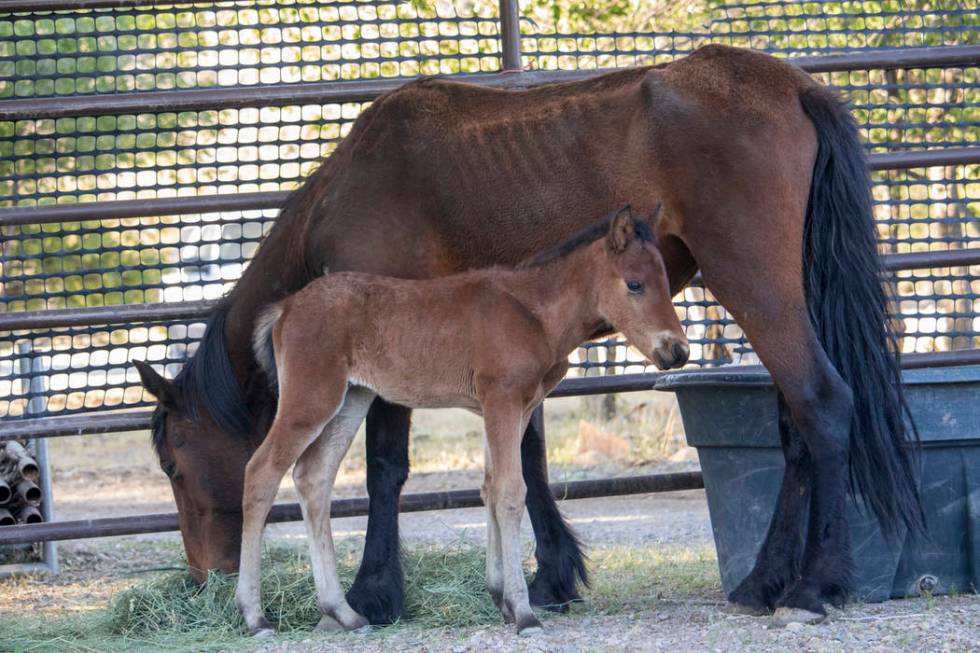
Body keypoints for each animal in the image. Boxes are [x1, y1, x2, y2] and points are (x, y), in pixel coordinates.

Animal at [234, 206, 688, 636]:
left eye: (666, 280)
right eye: (634, 284)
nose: (678, 350)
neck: (533, 311)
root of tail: (285, 309)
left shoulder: (513, 408)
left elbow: (489, 488)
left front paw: (501, 599)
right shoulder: (502, 400)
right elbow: (509, 492)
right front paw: (524, 613)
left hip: (350, 400)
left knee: (314, 478)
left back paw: (344, 612)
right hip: (311, 399)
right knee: (261, 472)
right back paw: (256, 617)